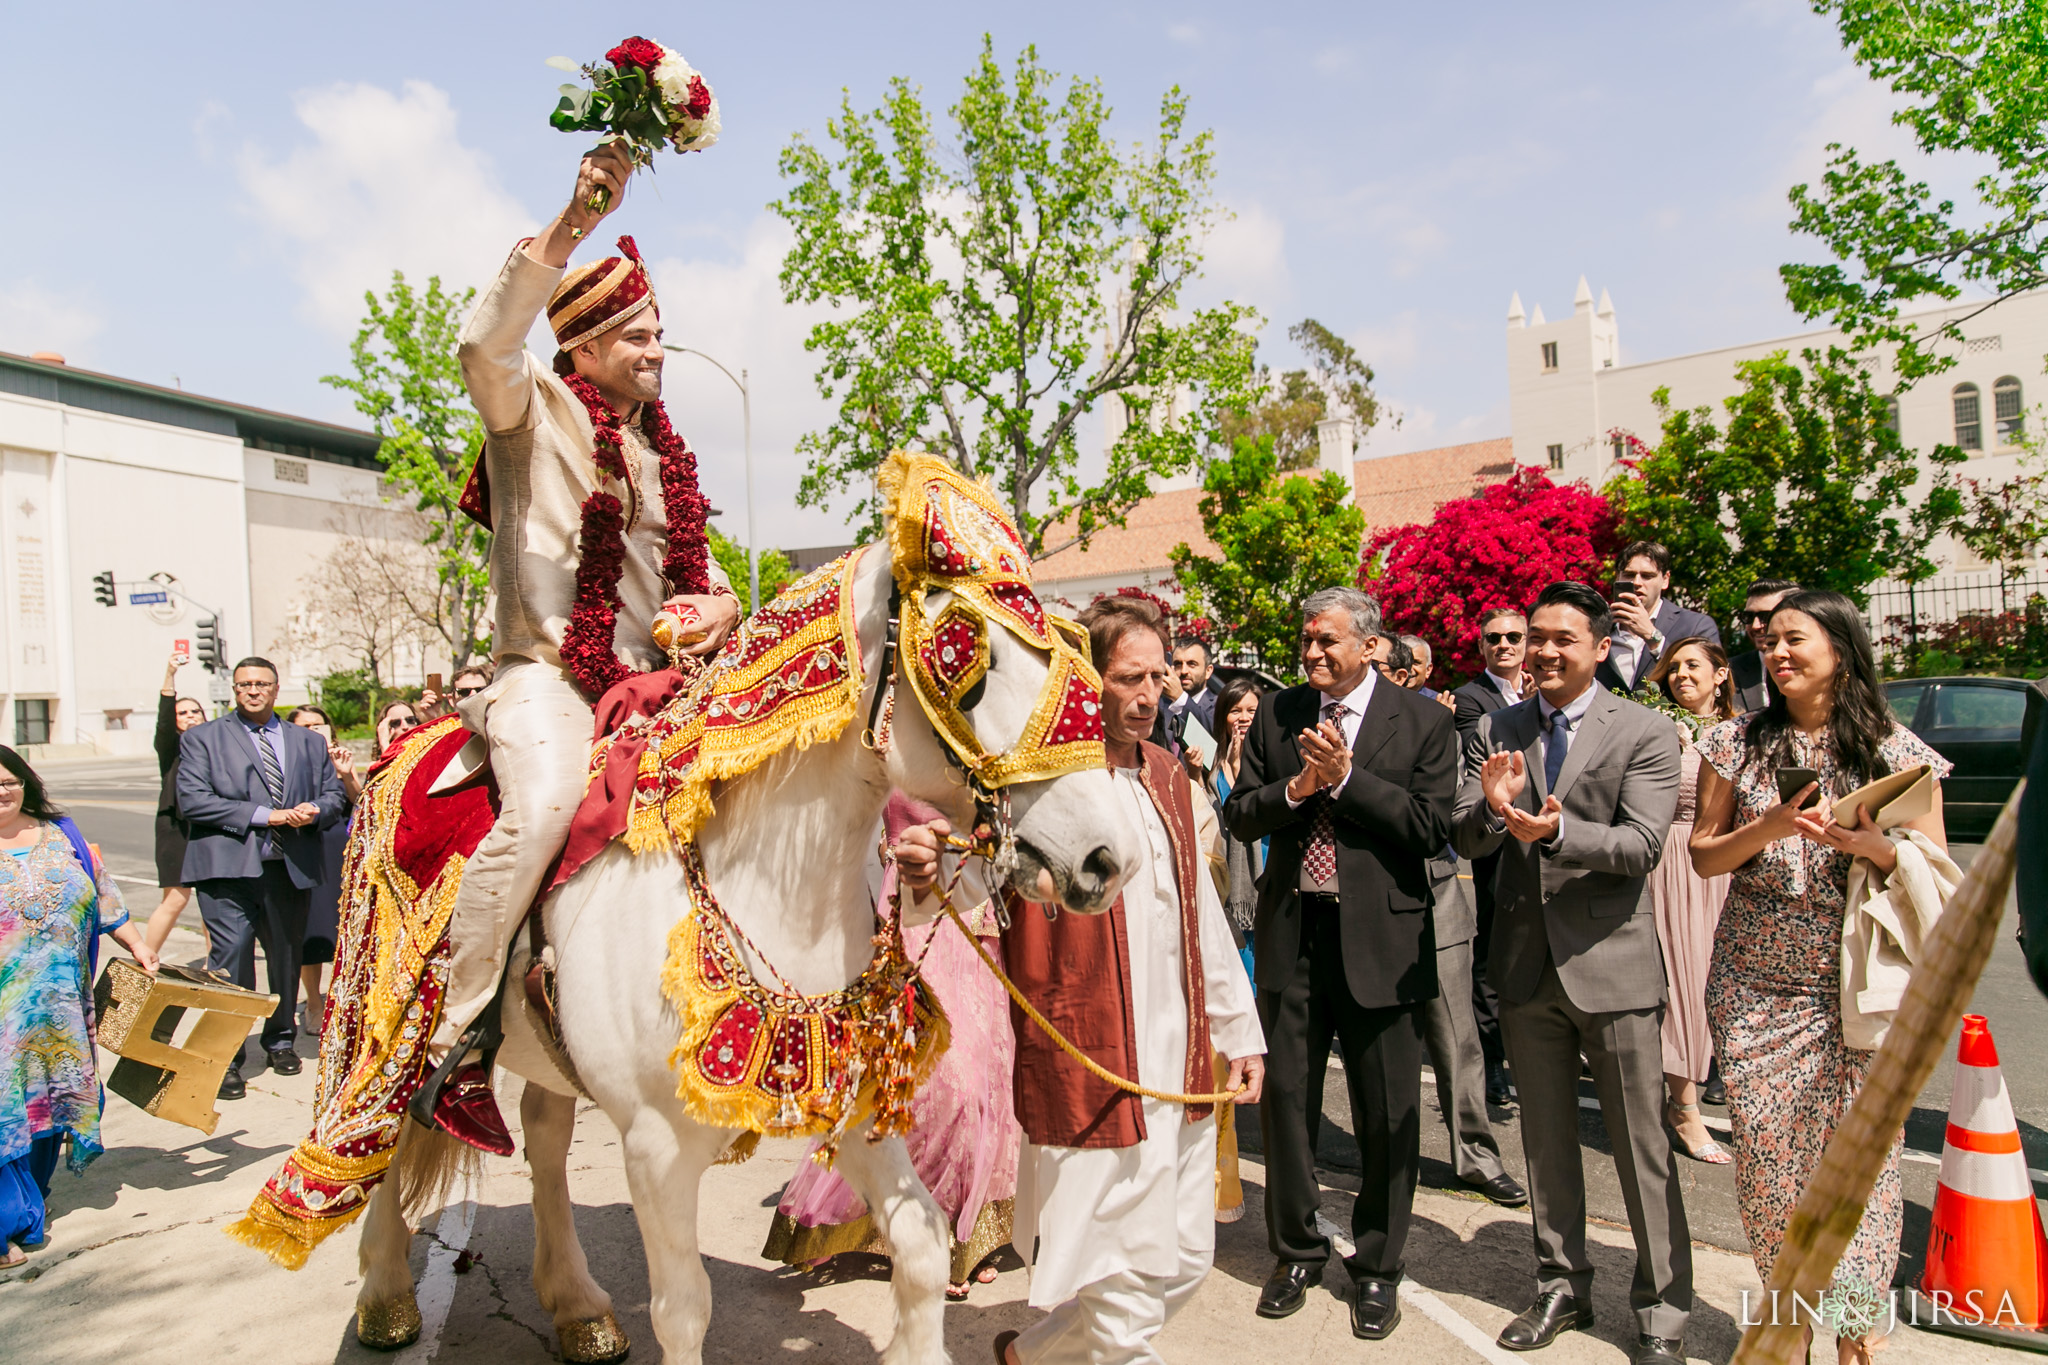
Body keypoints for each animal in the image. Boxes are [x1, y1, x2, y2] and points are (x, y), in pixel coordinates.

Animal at [350, 540, 1138, 1365]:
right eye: (968, 656)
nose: (1108, 856)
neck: (773, 896)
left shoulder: (855, 1105)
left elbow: (922, 1249)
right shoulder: (656, 1150)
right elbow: (682, 1309)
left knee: (544, 1135)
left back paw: (578, 1309)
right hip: (388, 1010)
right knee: (381, 1130)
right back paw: (386, 1297)